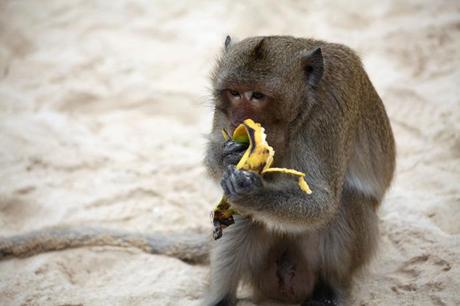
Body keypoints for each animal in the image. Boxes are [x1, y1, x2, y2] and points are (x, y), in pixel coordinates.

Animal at [203, 34, 398, 306]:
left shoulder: (329, 113)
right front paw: (226, 155)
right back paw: (221, 299)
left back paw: (330, 291)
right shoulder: (222, 112)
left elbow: (323, 203)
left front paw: (253, 194)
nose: (239, 120)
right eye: (234, 93)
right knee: (244, 218)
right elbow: (214, 155)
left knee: (345, 201)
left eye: (257, 96)